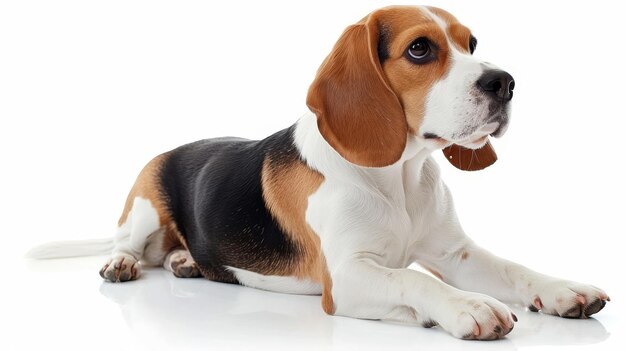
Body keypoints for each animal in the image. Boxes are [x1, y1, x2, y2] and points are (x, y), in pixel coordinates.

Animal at [33, 4, 604, 340]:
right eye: (420, 48)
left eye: (472, 44)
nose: (505, 83)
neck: (398, 177)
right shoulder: (347, 278)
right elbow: (413, 279)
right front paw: (468, 306)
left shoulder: (454, 253)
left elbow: (513, 269)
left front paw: (562, 289)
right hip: (146, 205)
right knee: (126, 244)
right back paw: (123, 263)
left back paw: (186, 261)